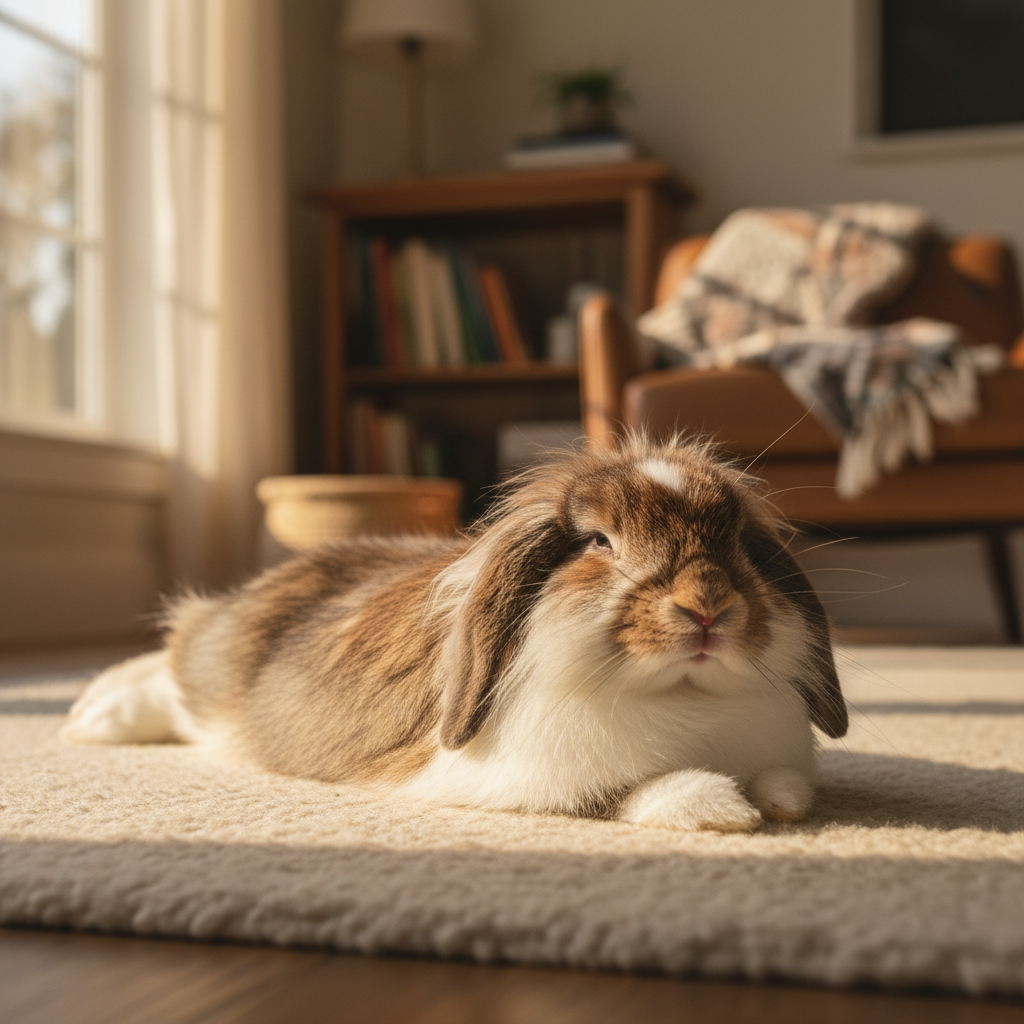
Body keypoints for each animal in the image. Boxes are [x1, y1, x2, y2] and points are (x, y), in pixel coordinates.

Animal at [63, 433, 847, 833]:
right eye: (599, 542)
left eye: (738, 542)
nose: (708, 607)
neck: (684, 698)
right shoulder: (518, 777)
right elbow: (621, 791)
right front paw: (723, 809)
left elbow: (786, 780)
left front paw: (778, 800)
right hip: (212, 671)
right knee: (168, 671)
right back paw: (91, 720)